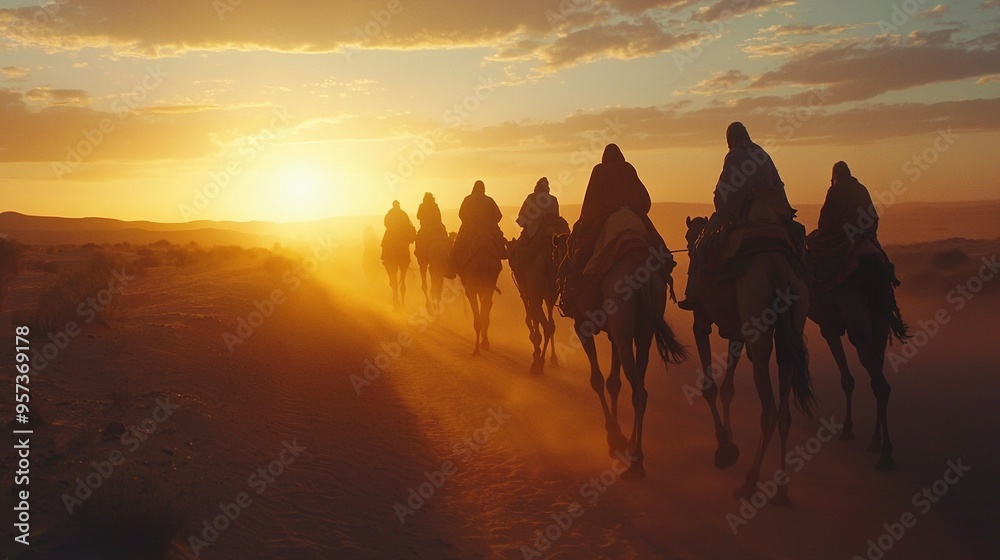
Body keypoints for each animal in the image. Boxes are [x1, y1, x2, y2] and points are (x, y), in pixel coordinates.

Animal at [556, 225, 688, 480]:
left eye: (560, 253)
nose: (559, 281)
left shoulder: (583, 325)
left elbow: (598, 380)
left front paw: (613, 435)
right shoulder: (614, 334)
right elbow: (614, 382)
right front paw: (620, 437)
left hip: (622, 323)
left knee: (639, 391)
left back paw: (636, 461)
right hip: (642, 330)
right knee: (640, 385)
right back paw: (635, 452)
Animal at [684, 217, 816, 500]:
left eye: (689, 237)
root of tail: (779, 273)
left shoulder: (701, 321)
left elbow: (710, 389)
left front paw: (724, 449)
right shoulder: (736, 333)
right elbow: (727, 389)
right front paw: (729, 439)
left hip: (756, 311)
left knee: (769, 409)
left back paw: (750, 482)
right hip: (793, 320)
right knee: (784, 409)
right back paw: (781, 489)